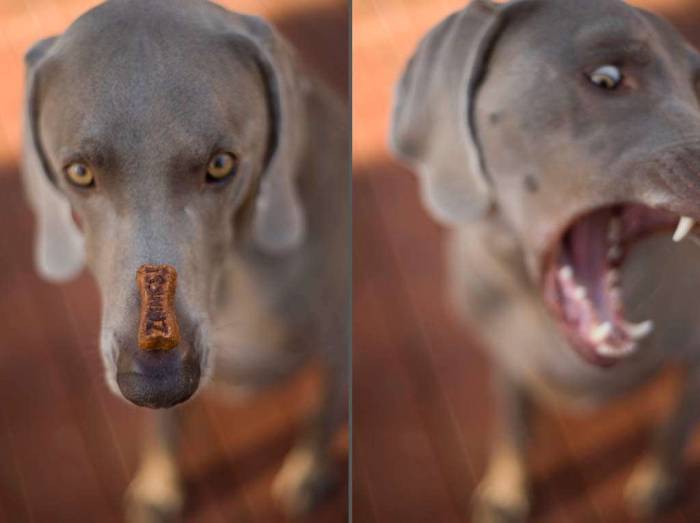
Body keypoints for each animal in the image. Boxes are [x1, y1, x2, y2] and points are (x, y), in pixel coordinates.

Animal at [20, 0, 348, 520]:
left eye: (221, 164)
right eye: (79, 172)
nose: (157, 386)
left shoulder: (339, 344)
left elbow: (321, 411)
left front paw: (310, 473)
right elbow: (165, 429)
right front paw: (159, 486)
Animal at [394, 0, 700, 520]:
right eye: (606, 77)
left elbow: (675, 424)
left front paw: (658, 481)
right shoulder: (505, 351)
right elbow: (512, 420)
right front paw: (507, 489)